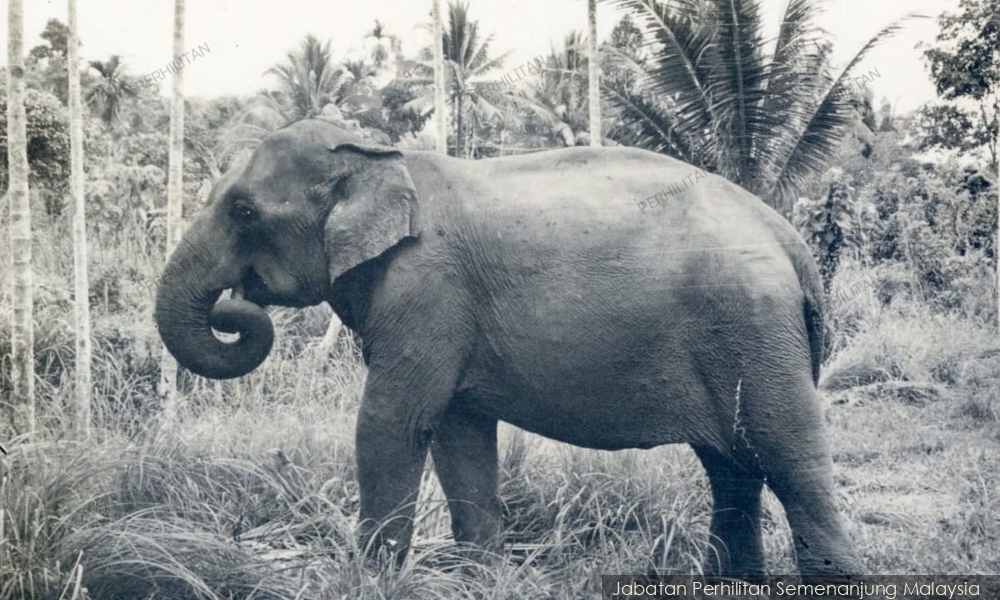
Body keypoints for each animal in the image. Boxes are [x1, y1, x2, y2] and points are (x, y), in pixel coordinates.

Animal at [154, 118, 861, 576]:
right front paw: (483, 580)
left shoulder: (427, 292)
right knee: (732, 467)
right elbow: (457, 431)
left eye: (244, 212)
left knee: (789, 458)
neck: (384, 157)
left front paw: (370, 581)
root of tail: (789, 238)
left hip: (753, 329)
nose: (237, 303)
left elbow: (392, 422)